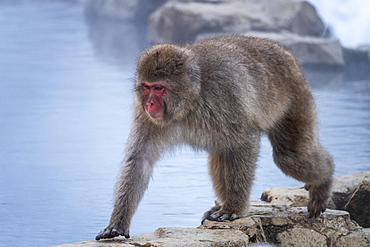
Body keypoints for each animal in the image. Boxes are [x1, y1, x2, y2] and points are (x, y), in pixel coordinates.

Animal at [95, 36, 336, 239]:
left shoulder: (223, 93)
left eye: (159, 88)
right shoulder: (146, 117)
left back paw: (324, 180)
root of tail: (284, 52)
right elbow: (140, 160)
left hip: (296, 98)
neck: (190, 99)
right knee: (221, 155)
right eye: (146, 87)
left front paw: (233, 209)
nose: (150, 104)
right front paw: (117, 224)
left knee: (288, 156)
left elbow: (244, 140)